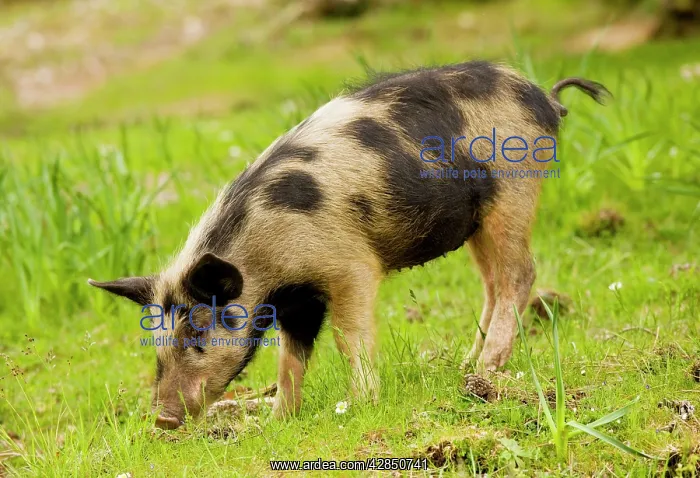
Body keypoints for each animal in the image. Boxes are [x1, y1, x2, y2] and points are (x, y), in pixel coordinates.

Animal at [89, 61, 609, 429]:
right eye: (156, 341)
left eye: (198, 337)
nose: (162, 418)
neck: (266, 260)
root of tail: (544, 98)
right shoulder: (295, 301)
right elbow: (289, 358)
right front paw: (277, 422)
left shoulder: (349, 267)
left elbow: (347, 337)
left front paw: (360, 404)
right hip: (477, 221)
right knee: (492, 284)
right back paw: (466, 367)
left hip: (515, 190)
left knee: (520, 273)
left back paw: (483, 372)